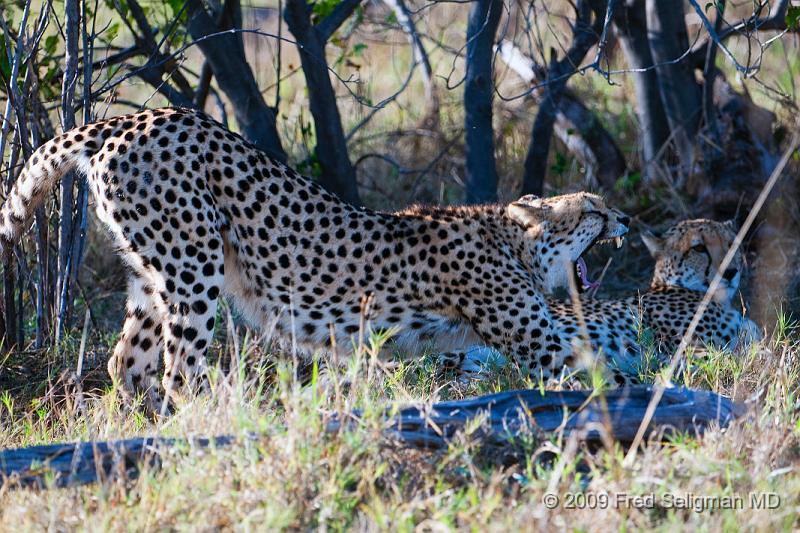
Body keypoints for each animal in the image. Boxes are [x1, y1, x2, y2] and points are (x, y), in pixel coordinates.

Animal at [0, 108, 632, 408]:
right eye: (593, 209)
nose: (625, 221)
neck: (509, 238)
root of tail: (132, 116)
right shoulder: (538, 340)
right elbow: (606, 371)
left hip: (149, 274)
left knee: (127, 364)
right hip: (193, 266)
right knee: (179, 369)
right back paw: (228, 419)